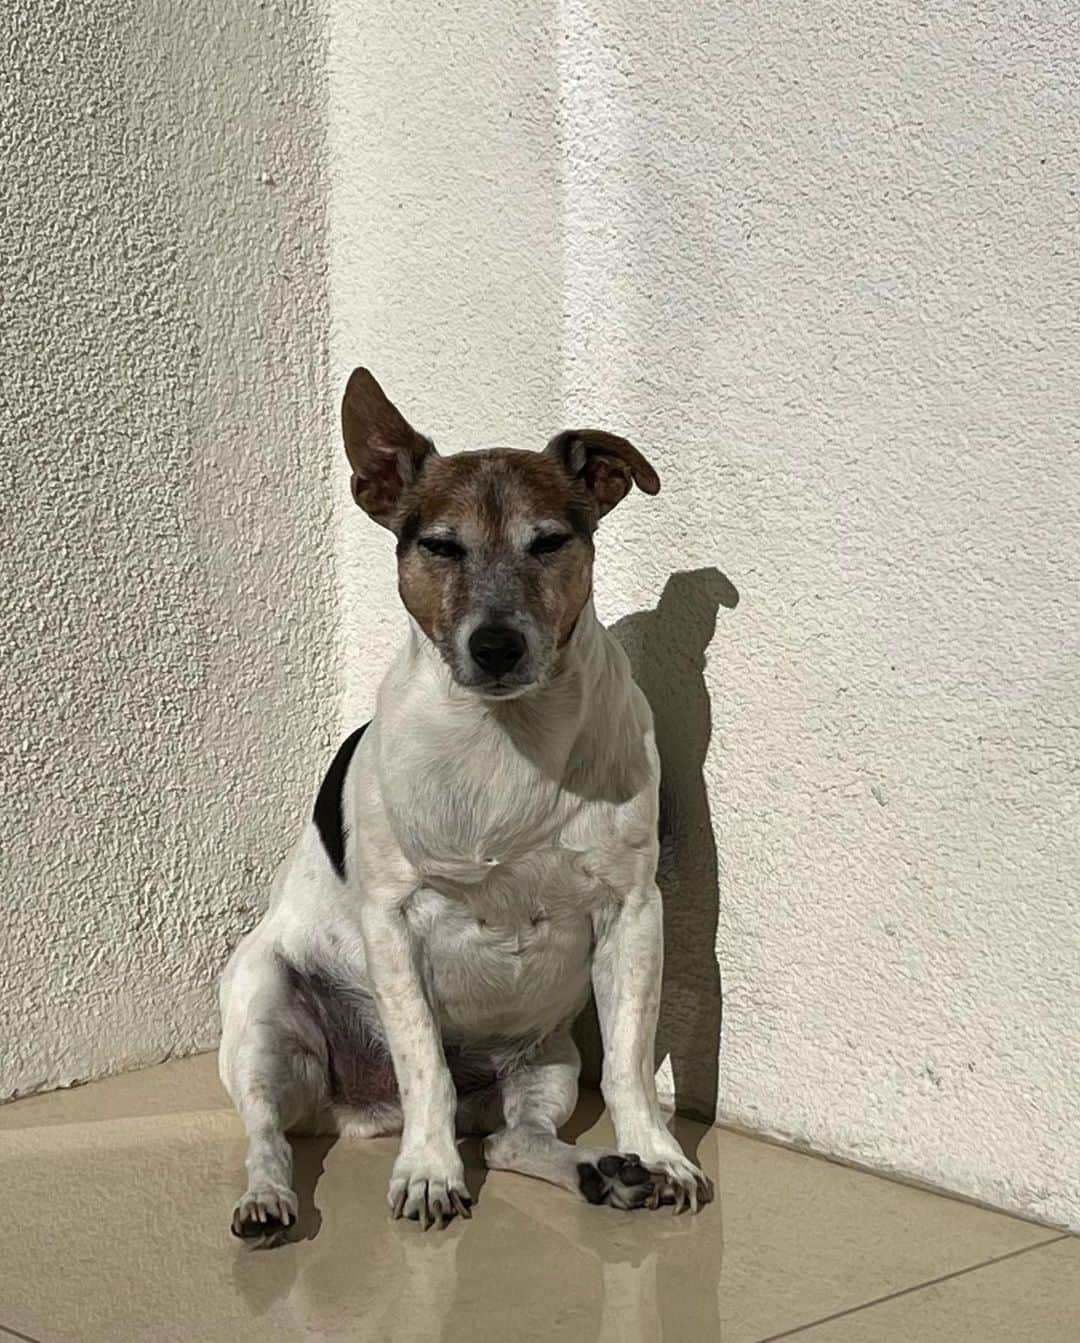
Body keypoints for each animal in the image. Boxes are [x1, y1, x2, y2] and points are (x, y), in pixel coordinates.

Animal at [217, 367, 714, 1235]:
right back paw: (270, 1198)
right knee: (270, 1131)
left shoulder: (633, 912)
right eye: (440, 546)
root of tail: (360, 1110)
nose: (497, 645)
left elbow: (628, 1064)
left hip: (550, 1060)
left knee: (515, 1138)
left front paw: (657, 1155)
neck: (507, 738)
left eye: (549, 541)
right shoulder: (392, 921)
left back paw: (602, 1170)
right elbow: (427, 1068)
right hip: (263, 1013)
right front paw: (428, 1171)